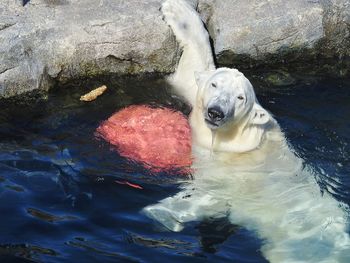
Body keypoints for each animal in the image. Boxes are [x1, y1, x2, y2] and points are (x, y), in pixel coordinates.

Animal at [143, 1, 350, 262]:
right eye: (215, 84)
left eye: (240, 97)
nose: (216, 112)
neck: (232, 140)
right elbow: (191, 74)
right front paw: (176, 10)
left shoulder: (230, 176)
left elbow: (212, 199)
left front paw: (159, 212)